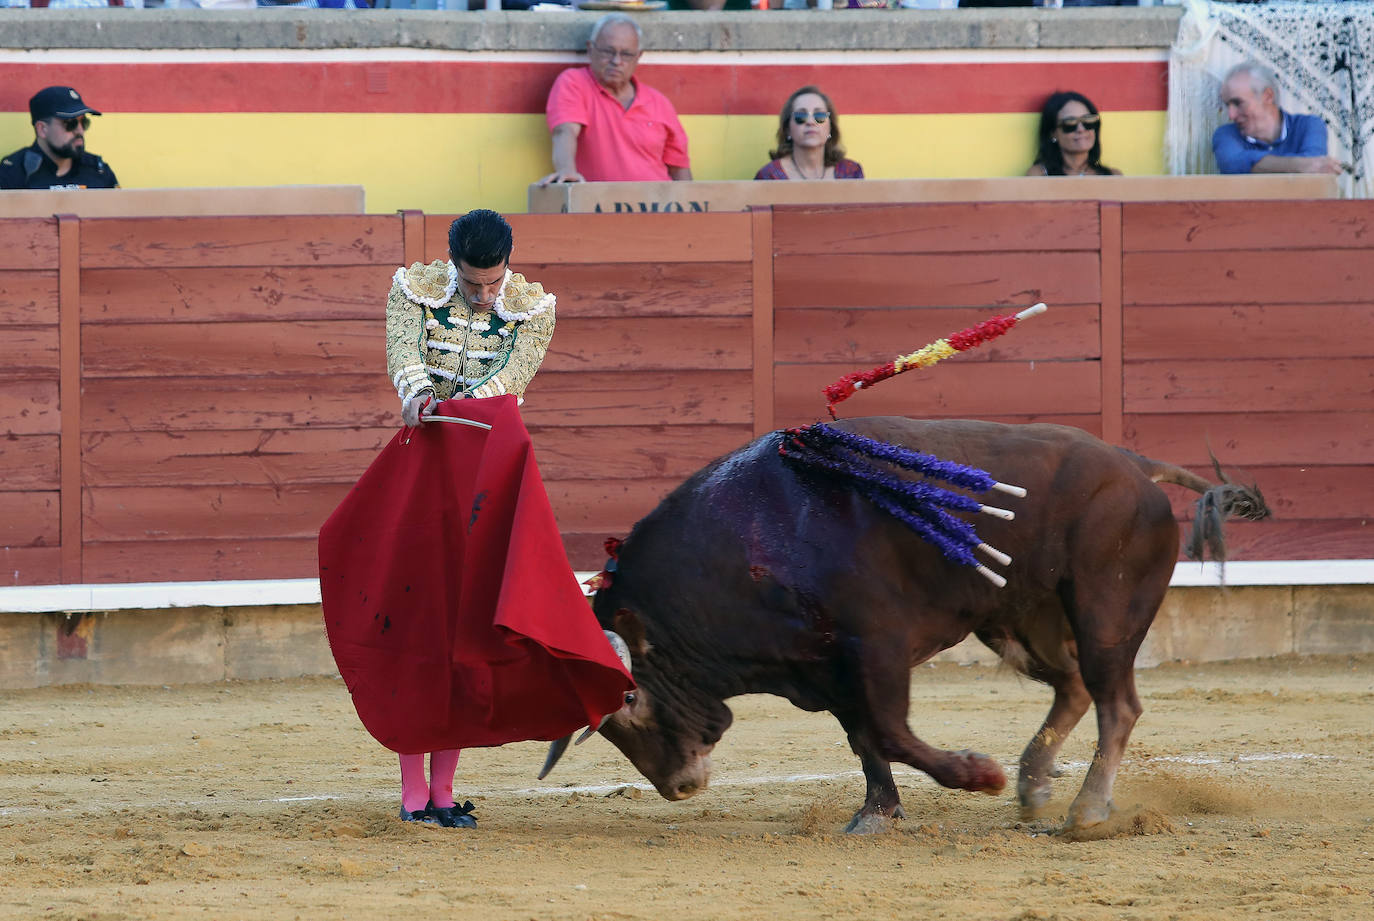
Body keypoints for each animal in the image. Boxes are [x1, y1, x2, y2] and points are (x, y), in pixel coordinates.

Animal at [535, 417, 1264, 835]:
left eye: (630, 697)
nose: (678, 787)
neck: (753, 541)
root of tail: (1133, 464)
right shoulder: (823, 668)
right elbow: (865, 739)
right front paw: (875, 813)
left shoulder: (875, 647)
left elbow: (888, 730)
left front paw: (978, 775)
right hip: (1017, 618)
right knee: (1076, 688)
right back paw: (1033, 785)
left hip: (1102, 612)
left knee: (1117, 701)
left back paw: (1083, 810)